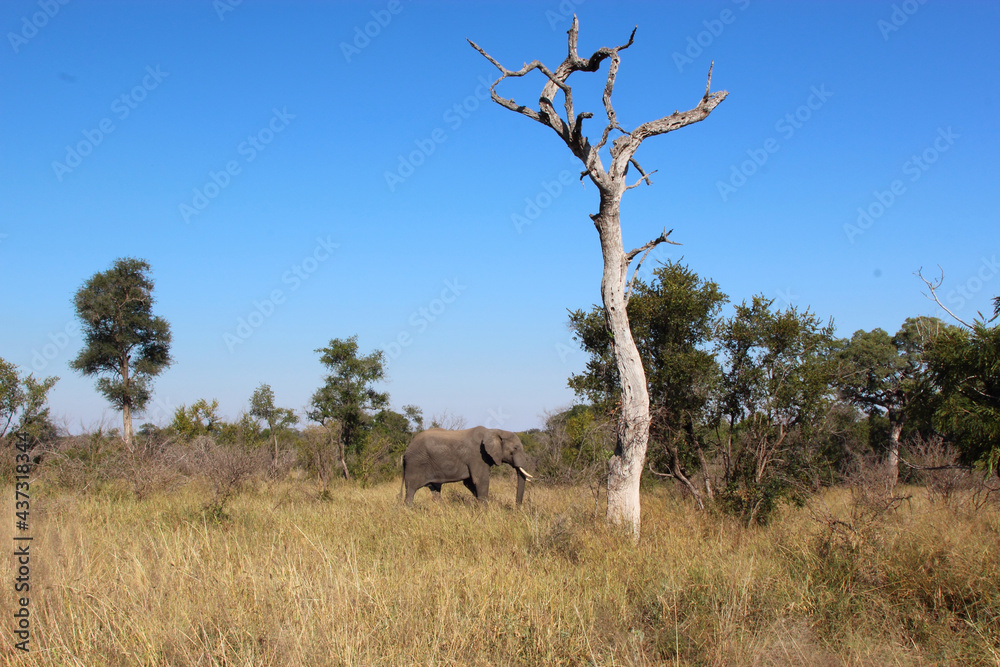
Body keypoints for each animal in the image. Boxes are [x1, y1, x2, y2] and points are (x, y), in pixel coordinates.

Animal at [401, 426, 532, 505]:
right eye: (515, 449)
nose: (517, 509)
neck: (494, 430)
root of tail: (406, 451)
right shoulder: (478, 456)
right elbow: (481, 481)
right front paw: (485, 512)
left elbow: (470, 483)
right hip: (415, 464)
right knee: (411, 490)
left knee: (435, 490)